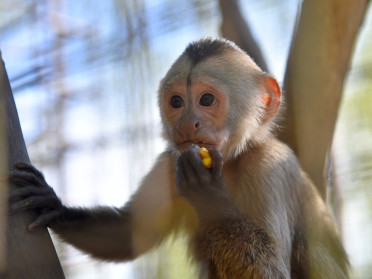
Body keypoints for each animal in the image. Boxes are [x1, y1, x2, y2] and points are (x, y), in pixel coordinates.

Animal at [10, 37, 350, 279]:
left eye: (207, 99)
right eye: (176, 102)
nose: (187, 124)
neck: (231, 163)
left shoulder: (268, 167)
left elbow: (273, 275)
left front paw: (208, 194)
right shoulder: (169, 163)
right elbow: (127, 235)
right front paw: (53, 206)